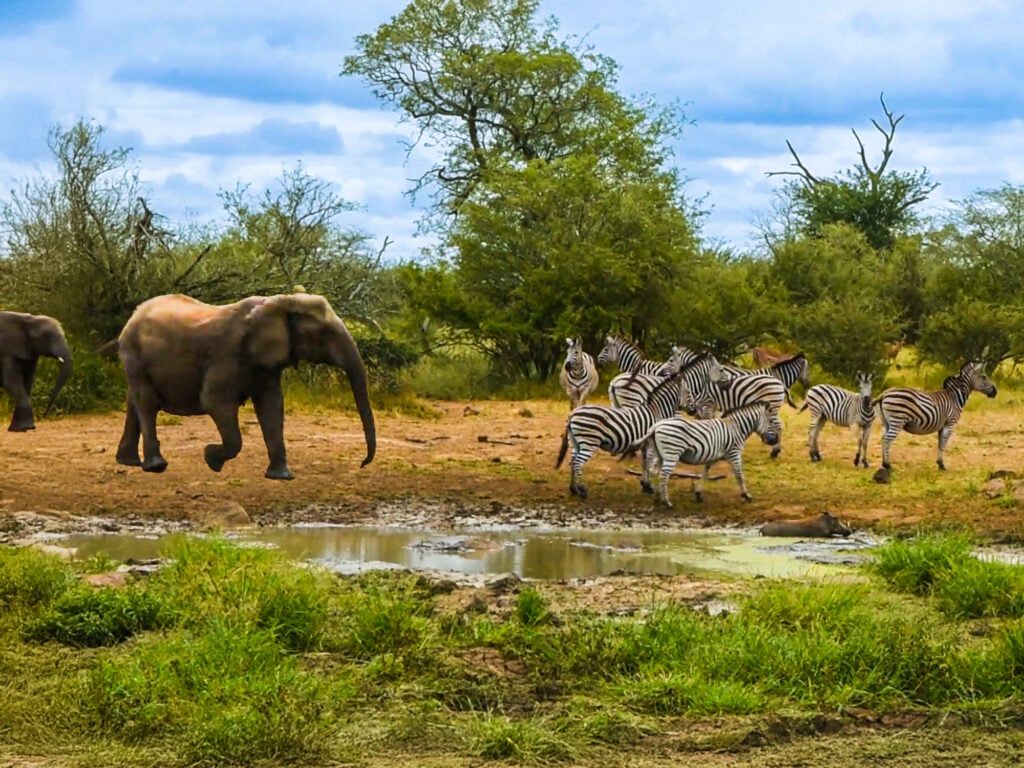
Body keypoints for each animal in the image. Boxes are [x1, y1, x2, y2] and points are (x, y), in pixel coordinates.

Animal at [115, 292, 376, 480]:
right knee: (147, 403)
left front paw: (281, 477)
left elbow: (271, 405)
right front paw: (211, 458)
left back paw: (128, 462)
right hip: (134, 354)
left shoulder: (266, 364)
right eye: (323, 333)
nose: (363, 464)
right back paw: (156, 467)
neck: (278, 303)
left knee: (134, 401)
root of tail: (134, 314)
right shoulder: (227, 354)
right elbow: (214, 401)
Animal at [555, 370, 688, 499]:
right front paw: (649, 486)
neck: (655, 410)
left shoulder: (645, 444)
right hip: (589, 442)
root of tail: (573, 414)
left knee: (572, 461)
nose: (691, 411)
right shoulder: (650, 444)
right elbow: (648, 464)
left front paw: (646, 486)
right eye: (687, 392)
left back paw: (574, 489)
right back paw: (582, 490)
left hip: (575, 442)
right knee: (578, 463)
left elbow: (644, 463)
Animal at [640, 401, 782, 507]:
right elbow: (739, 474)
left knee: (656, 472)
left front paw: (698, 494)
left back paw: (657, 497)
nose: (775, 441)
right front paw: (746, 495)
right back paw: (666, 502)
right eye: (771, 422)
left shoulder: (713, 455)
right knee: (664, 475)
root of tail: (656, 426)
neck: (736, 427)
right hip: (672, 453)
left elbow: (705, 473)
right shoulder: (734, 453)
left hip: (660, 454)